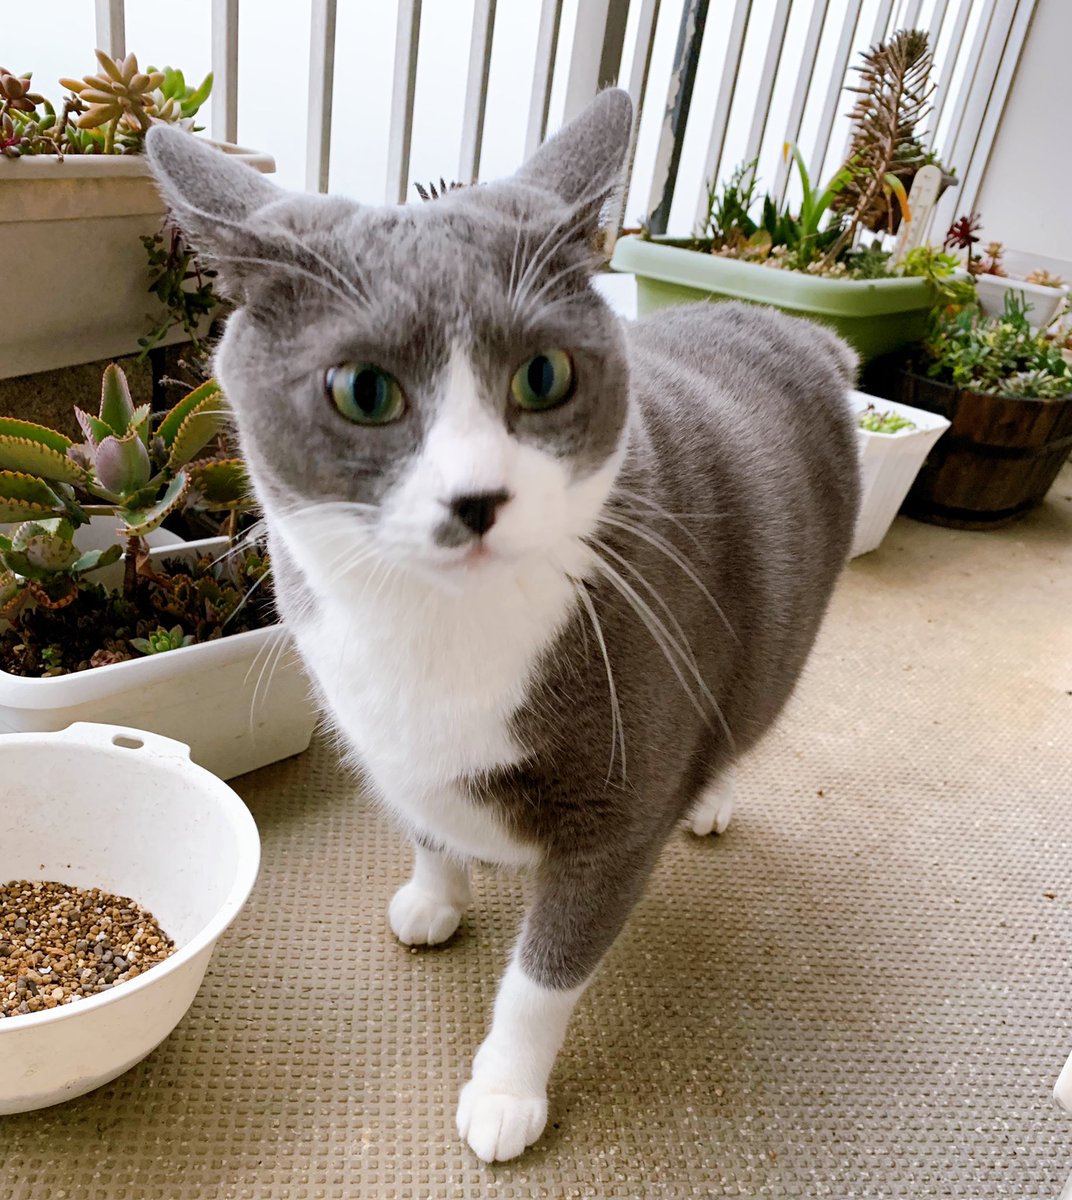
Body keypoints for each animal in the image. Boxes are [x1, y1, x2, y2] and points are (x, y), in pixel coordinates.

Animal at [146, 88, 859, 1163]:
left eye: (544, 377)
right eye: (363, 389)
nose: (476, 497)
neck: (438, 627)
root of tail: (787, 325)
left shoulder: (618, 807)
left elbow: (544, 973)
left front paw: (504, 1094)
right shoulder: (381, 730)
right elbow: (427, 824)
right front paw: (435, 899)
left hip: (775, 635)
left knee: (746, 709)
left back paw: (709, 796)